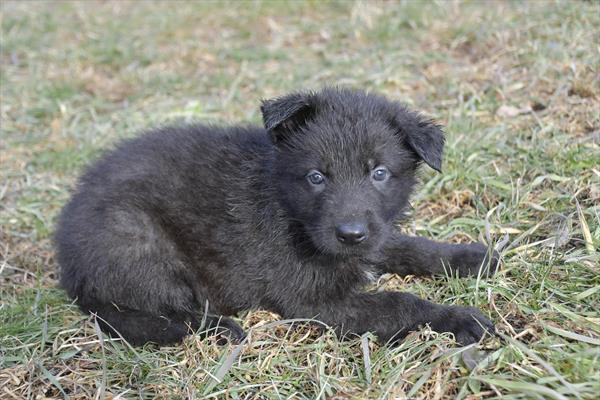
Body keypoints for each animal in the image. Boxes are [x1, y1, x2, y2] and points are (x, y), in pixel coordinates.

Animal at [55, 88, 496, 346]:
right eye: (316, 177)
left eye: (380, 173)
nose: (350, 234)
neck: (289, 208)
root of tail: (69, 267)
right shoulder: (314, 301)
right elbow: (399, 302)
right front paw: (458, 318)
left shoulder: (375, 233)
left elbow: (406, 245)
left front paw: (470, 257)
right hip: (135, 239)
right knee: (154, 312)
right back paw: (218, 328)